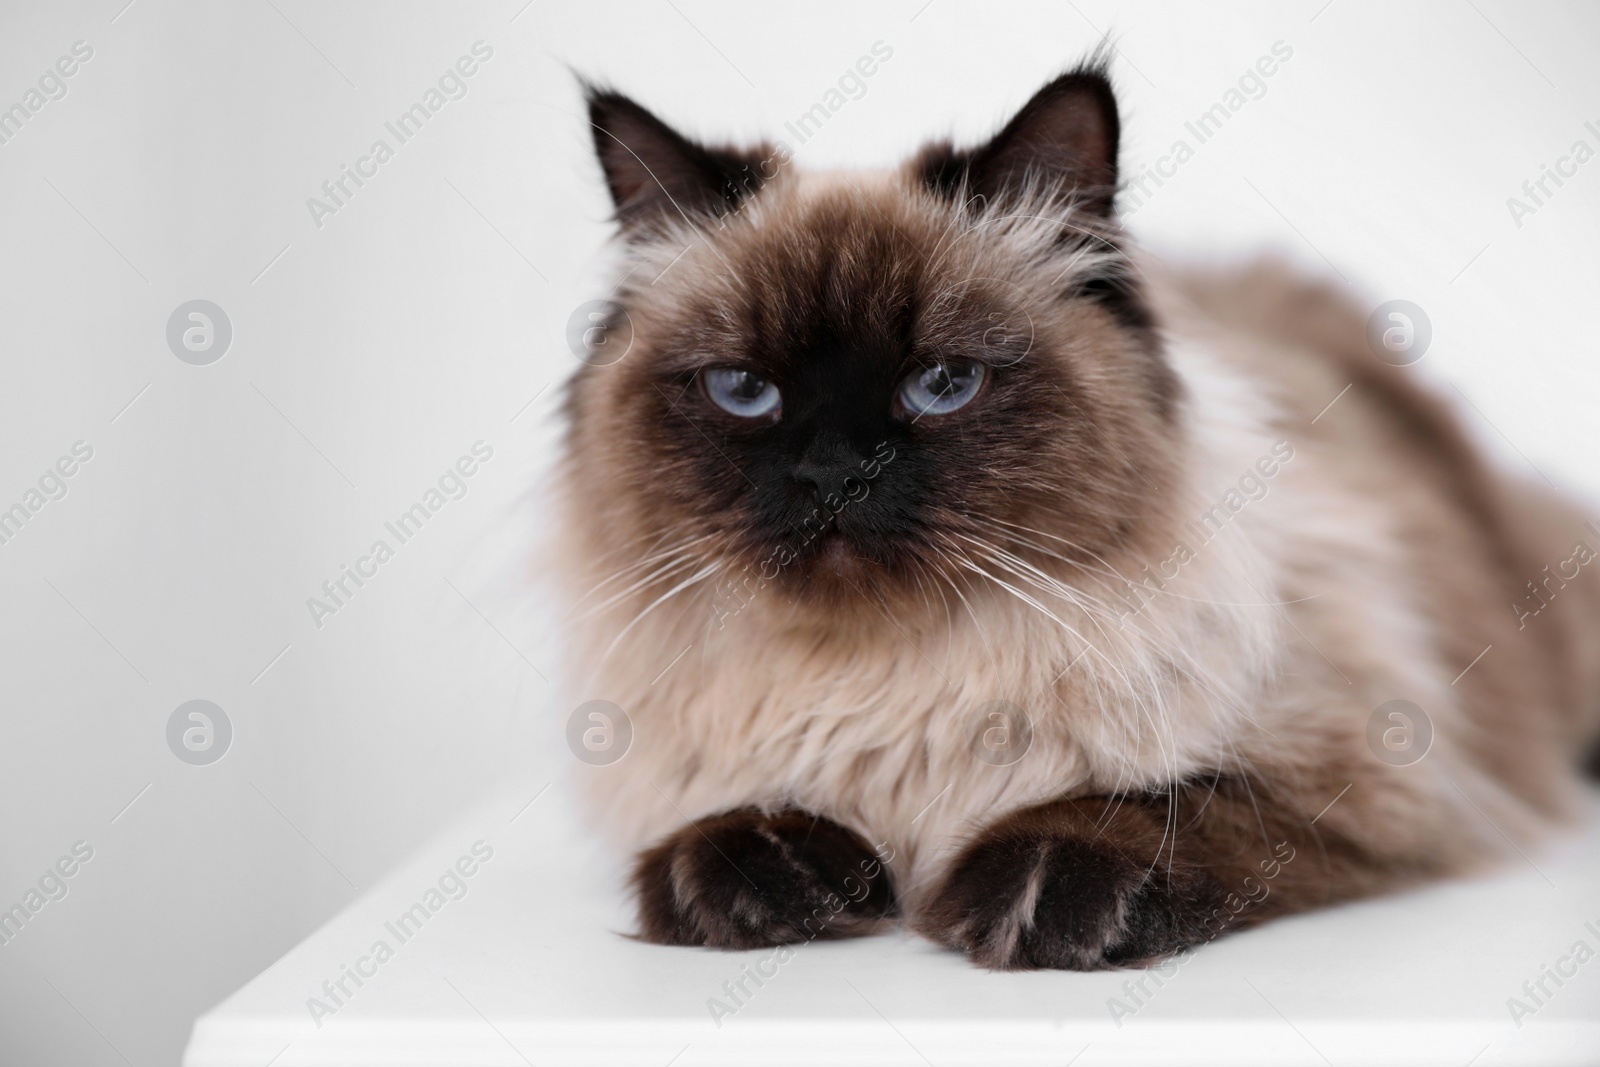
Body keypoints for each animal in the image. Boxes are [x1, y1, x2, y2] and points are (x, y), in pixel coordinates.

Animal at [553, 60, 1600, 979]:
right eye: (743, 391)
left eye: (943, 383)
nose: (833, 475)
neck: (887, 677)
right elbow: (728, 832)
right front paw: (764, 891)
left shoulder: (1364, 771)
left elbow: (1146, 802)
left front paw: (1023, 903)